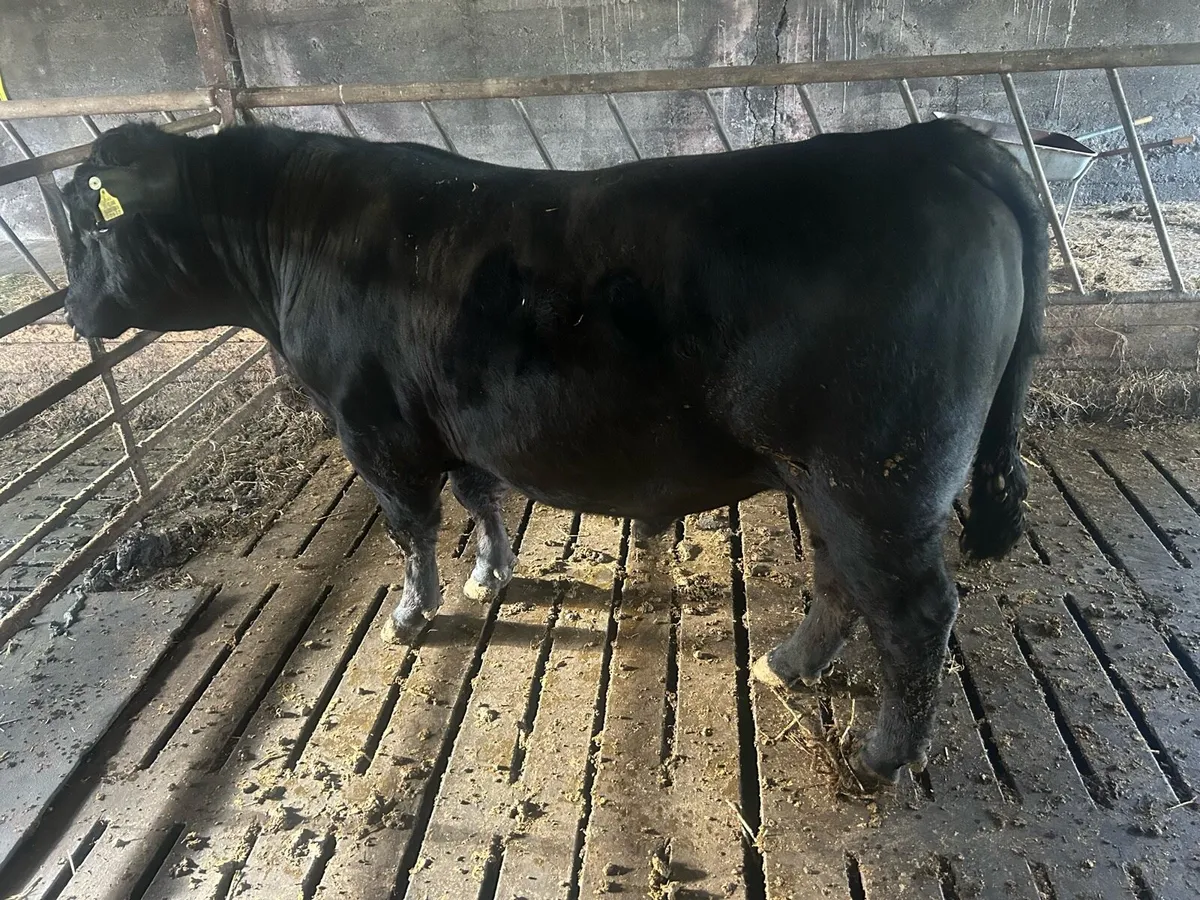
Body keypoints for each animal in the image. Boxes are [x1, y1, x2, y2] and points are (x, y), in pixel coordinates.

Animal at [61, 118, 1046, 790]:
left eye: (95, 226)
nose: (72, 312)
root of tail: (936, 142)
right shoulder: (452, 422)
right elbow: (480, 497)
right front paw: (489, 574)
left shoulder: (373, 427)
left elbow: (410, 527)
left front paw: (413, 613)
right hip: (833, 481)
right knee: (844, 581)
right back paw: (787, 664)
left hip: (877, 478)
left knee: (913, 612)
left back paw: (880, 757)